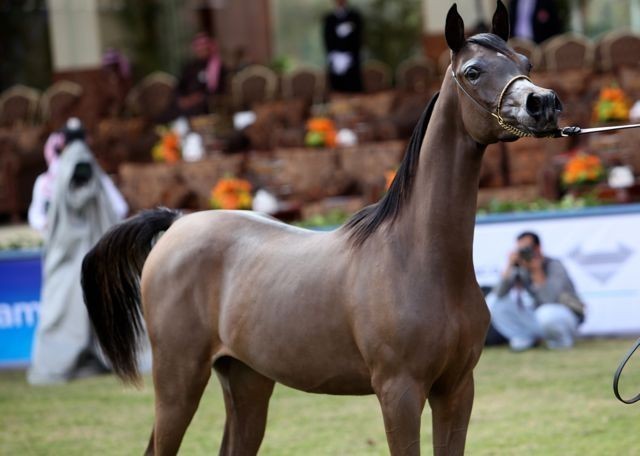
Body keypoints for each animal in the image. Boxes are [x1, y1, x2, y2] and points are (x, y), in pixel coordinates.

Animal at [81, 2, 562, 454]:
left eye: (525, 61)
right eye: (473, 71)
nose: (543, 104)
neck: (418, 258)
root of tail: (178, 223)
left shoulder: (457, 389)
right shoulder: (399, 393)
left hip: (246, 380)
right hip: (177, 381)